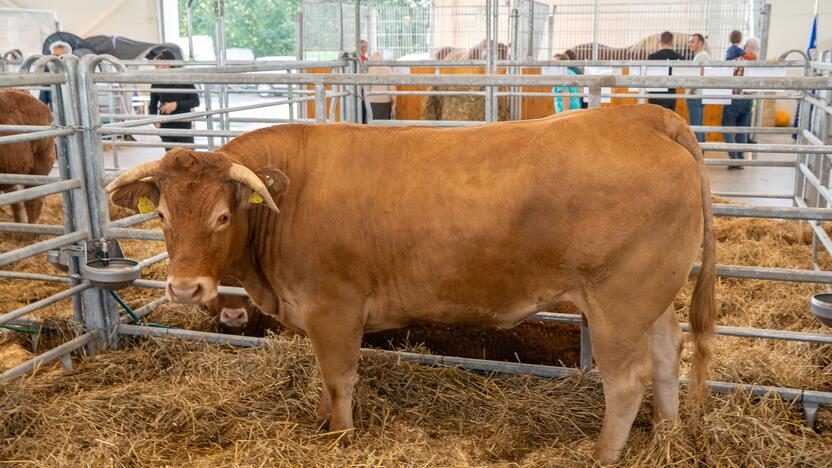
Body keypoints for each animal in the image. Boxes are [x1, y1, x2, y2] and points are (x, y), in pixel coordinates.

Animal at [107, 104, 720, 462]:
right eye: (161, 214)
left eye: (222, 216)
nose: (185, 289)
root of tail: (639, 114)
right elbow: (324, 377)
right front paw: (322, 422)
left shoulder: (334, 306)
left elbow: (339, 378)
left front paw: (339, 436)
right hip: (651, 299)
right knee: (667, 353)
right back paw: (666, 437)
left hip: (618, 302)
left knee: (627, 380)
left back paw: (602, 455)